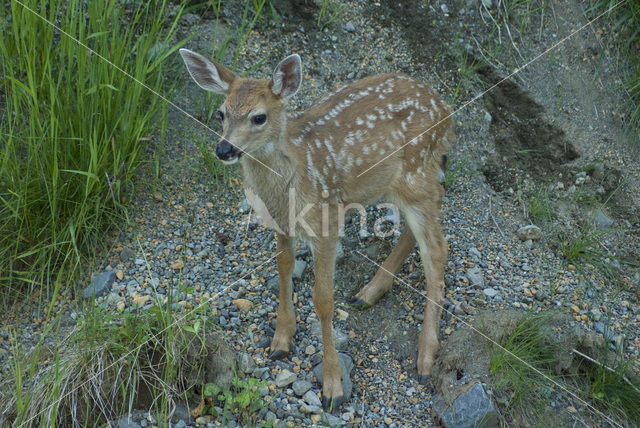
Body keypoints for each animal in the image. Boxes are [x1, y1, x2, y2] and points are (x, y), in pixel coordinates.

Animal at [178, 47, 452, 412]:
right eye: (221, 112)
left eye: (259, 117)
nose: (224, 149)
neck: (293, 175)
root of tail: (446, 111)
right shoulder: (281, 221)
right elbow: (284, 268)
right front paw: (281, 338)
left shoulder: (328, 220)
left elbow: (323, 299)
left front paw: (333, 385)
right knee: (418, 229)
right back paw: (369, 292)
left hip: (416, 172)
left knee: (437, 247)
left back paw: (425, 357)